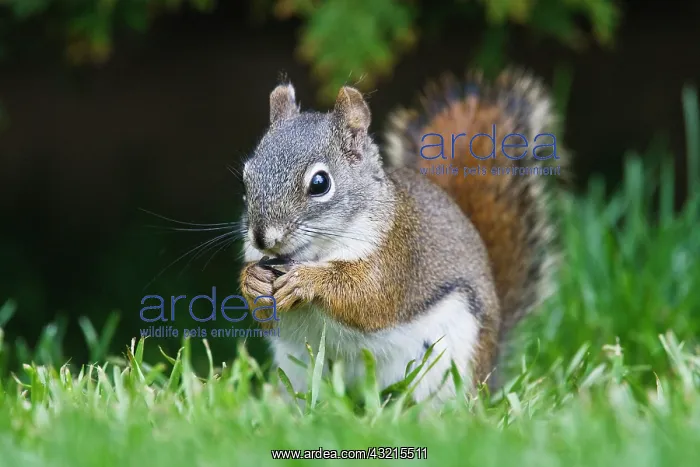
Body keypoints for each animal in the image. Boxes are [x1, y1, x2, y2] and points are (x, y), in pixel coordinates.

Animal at [238, 68, 563, 403]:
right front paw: (253, 281)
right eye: (246, 178)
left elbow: (368, 298)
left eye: (320, 183)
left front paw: (306, 281)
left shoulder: (397, 257)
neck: (315, 252)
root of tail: (491, 371)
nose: (262, 238)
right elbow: (266, 313)